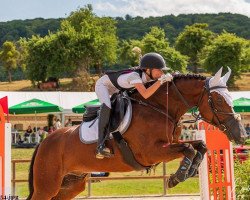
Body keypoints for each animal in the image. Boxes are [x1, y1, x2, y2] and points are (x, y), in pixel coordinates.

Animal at [27, 67, 246, 200]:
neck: (160, 108)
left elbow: (200, 146)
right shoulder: (150, 153)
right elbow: (188, 149)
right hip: (48, 185)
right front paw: (176, 177)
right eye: (218, 100)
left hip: (71, 184)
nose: (241, 135)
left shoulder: (170, 143)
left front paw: (188, 172)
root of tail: (44, 142)